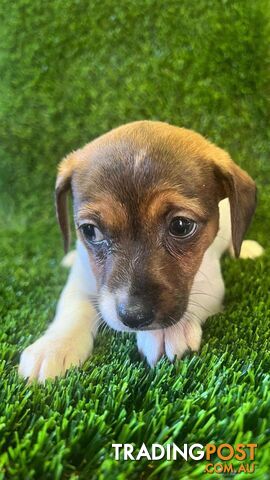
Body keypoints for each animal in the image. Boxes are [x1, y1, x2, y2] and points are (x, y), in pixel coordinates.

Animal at [19, 121, 264, 382]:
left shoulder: (209, 278)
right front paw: (53, 346)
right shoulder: (82, 278)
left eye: (181, 226)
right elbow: (72, 308)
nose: (134, 316)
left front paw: (168, 331)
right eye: (90, 231)